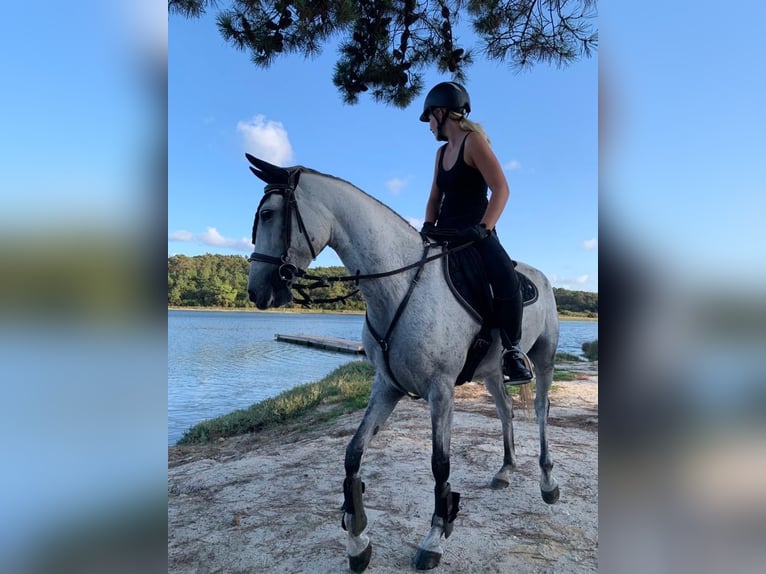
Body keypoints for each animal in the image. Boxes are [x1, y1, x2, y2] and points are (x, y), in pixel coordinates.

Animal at [246, 154, 564, 572]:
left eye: (267, 215)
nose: (256, 291)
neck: (399, 286)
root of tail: (540, 275)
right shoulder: (387, 386)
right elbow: (353, 455)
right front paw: (357, 539)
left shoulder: (440, 391)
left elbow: (440, 465)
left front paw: (435, 537)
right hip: (493, 371)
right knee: (506, 409)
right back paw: (506, 470)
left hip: (543, 359)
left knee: (541, 410)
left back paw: (548, 482)